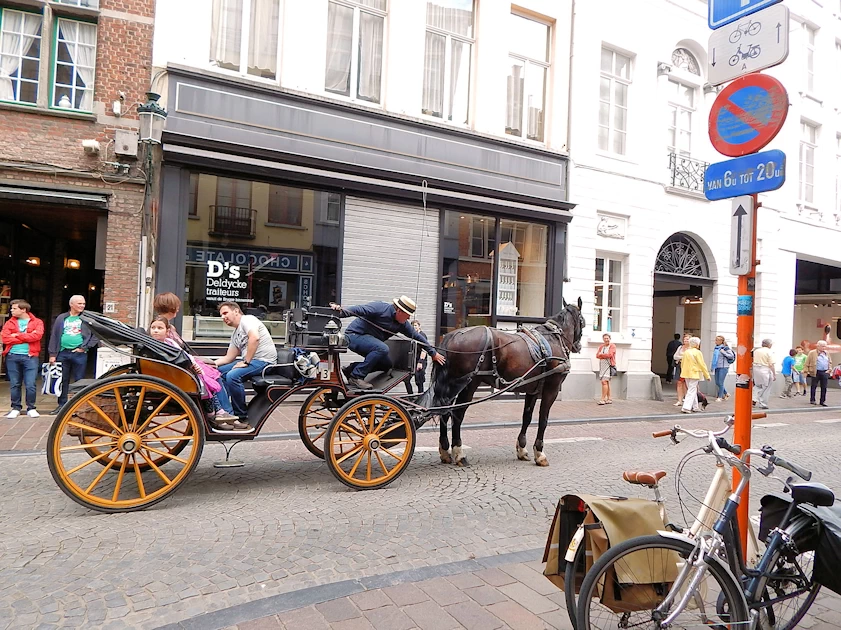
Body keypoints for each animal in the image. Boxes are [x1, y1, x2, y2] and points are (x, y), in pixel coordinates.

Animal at [418, 300, 584, 470]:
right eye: (582, 322)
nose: (578, 346)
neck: (554, 338)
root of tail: (452, 336)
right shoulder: (552, 388)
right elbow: (543, 419)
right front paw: (539, 454)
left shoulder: (532, 390)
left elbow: (527, 417)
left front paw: (522, 449)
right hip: (469, 384)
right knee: (457, 415)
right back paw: (459, 454)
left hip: (452, 385)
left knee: (444, 412)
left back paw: (445, 451)